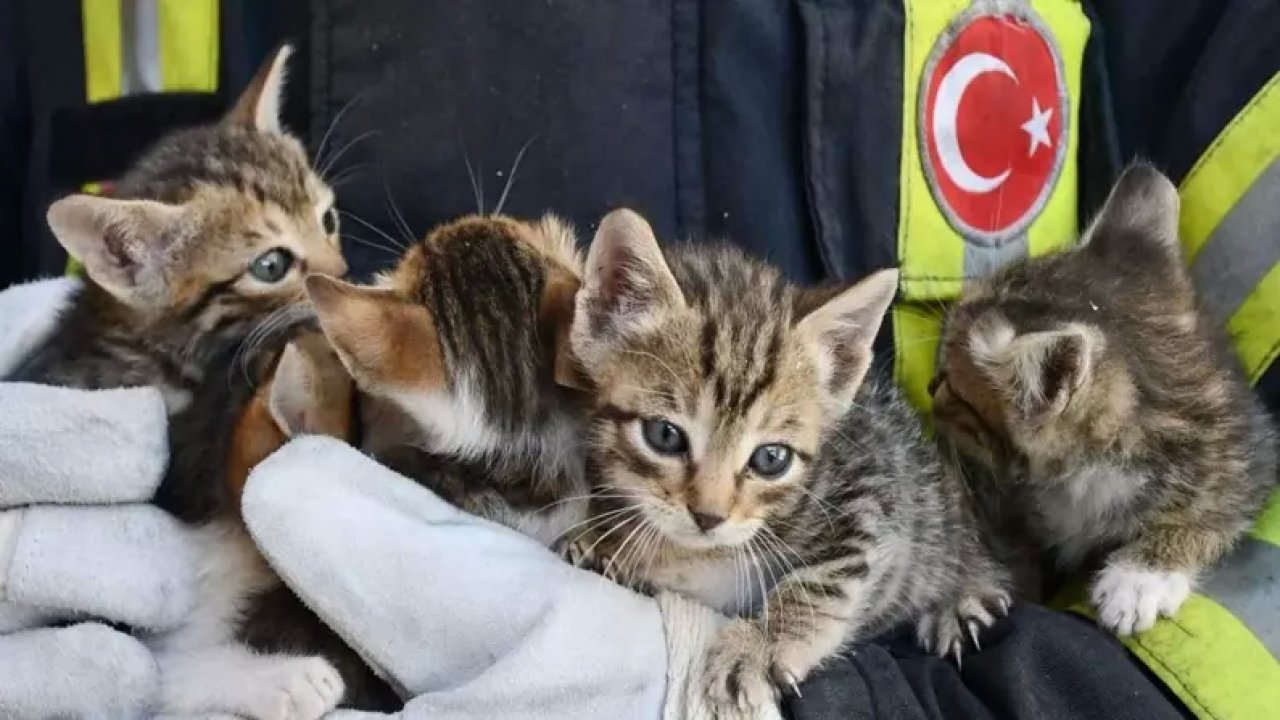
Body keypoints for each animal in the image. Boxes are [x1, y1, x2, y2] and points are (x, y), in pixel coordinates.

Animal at [570, 207, 1008, 712]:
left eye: (771, 459)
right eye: (664, 435)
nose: (708, 516)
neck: (699, 553)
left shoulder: (872, 491)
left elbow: (825, 580)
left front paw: (759, 647)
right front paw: (602, 545)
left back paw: (960, 598)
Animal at [931, 159, 1280, 630]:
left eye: (953, 384)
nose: (930, 388)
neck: (1085, 473)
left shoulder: (1244, 450)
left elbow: (1216, 503)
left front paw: (1142, 577)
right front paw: (963, 587)